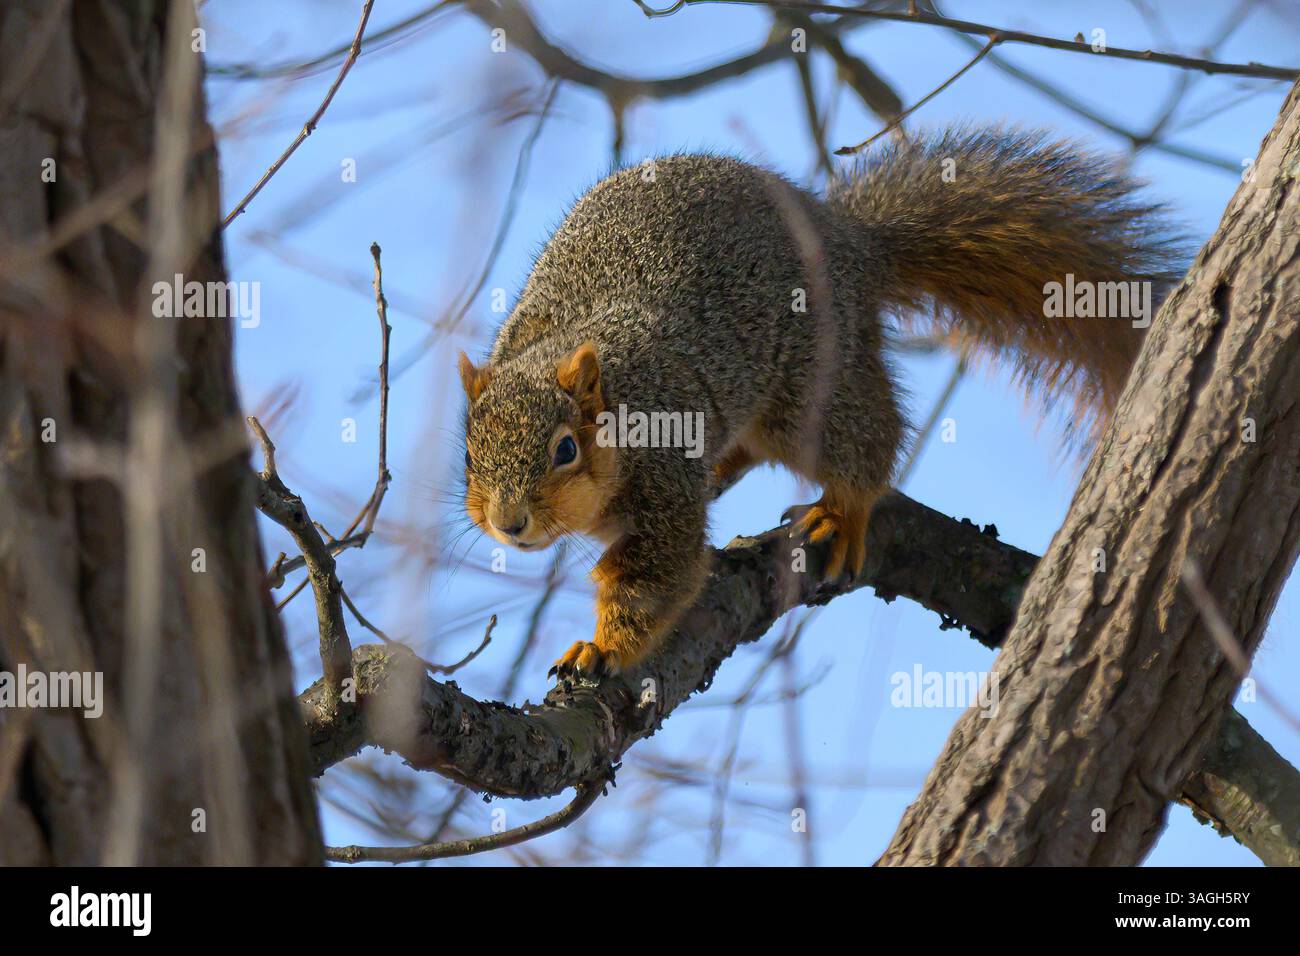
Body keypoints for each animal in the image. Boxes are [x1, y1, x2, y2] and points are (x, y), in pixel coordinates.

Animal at [457, 127, 1179, 680]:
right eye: (468, 451)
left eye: (566, 448)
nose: (509, 523)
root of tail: (855, 245)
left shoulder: (664, 473)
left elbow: (655, 579)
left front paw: (599, 650)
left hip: (808, 387)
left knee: (869, 436)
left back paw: (842, 511)